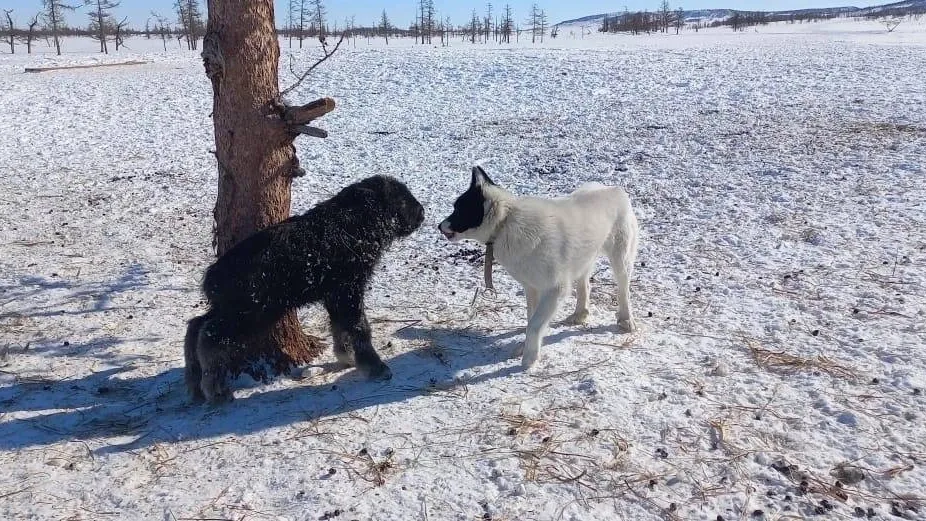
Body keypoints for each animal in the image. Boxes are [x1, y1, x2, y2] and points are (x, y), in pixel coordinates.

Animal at [185, 175, 424, 402]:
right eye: (401, 198)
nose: (422, 213)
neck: (352, 223)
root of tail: (212, 278)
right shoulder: (348, 290)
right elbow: (359, 327)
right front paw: (376, 369)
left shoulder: (335, 295)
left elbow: (340, 326)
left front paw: (346, 357)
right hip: (248, 313)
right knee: (210, 336)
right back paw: (214, 389)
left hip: (234, 311)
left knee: (196, 325)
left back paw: (195, 383)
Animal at [438, 169, 640, 368]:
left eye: (459, 210)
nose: (439, 226)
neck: (505, 222)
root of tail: (614, 189)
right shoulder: (532, 288)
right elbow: (531, 320)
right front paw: (525, 346)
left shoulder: (555, 290)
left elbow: (535, 324)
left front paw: (530, 357)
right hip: (583, 257)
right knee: (585, 284)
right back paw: (579, 314)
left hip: (620, 259)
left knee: (623, 289)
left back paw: (626, 319)